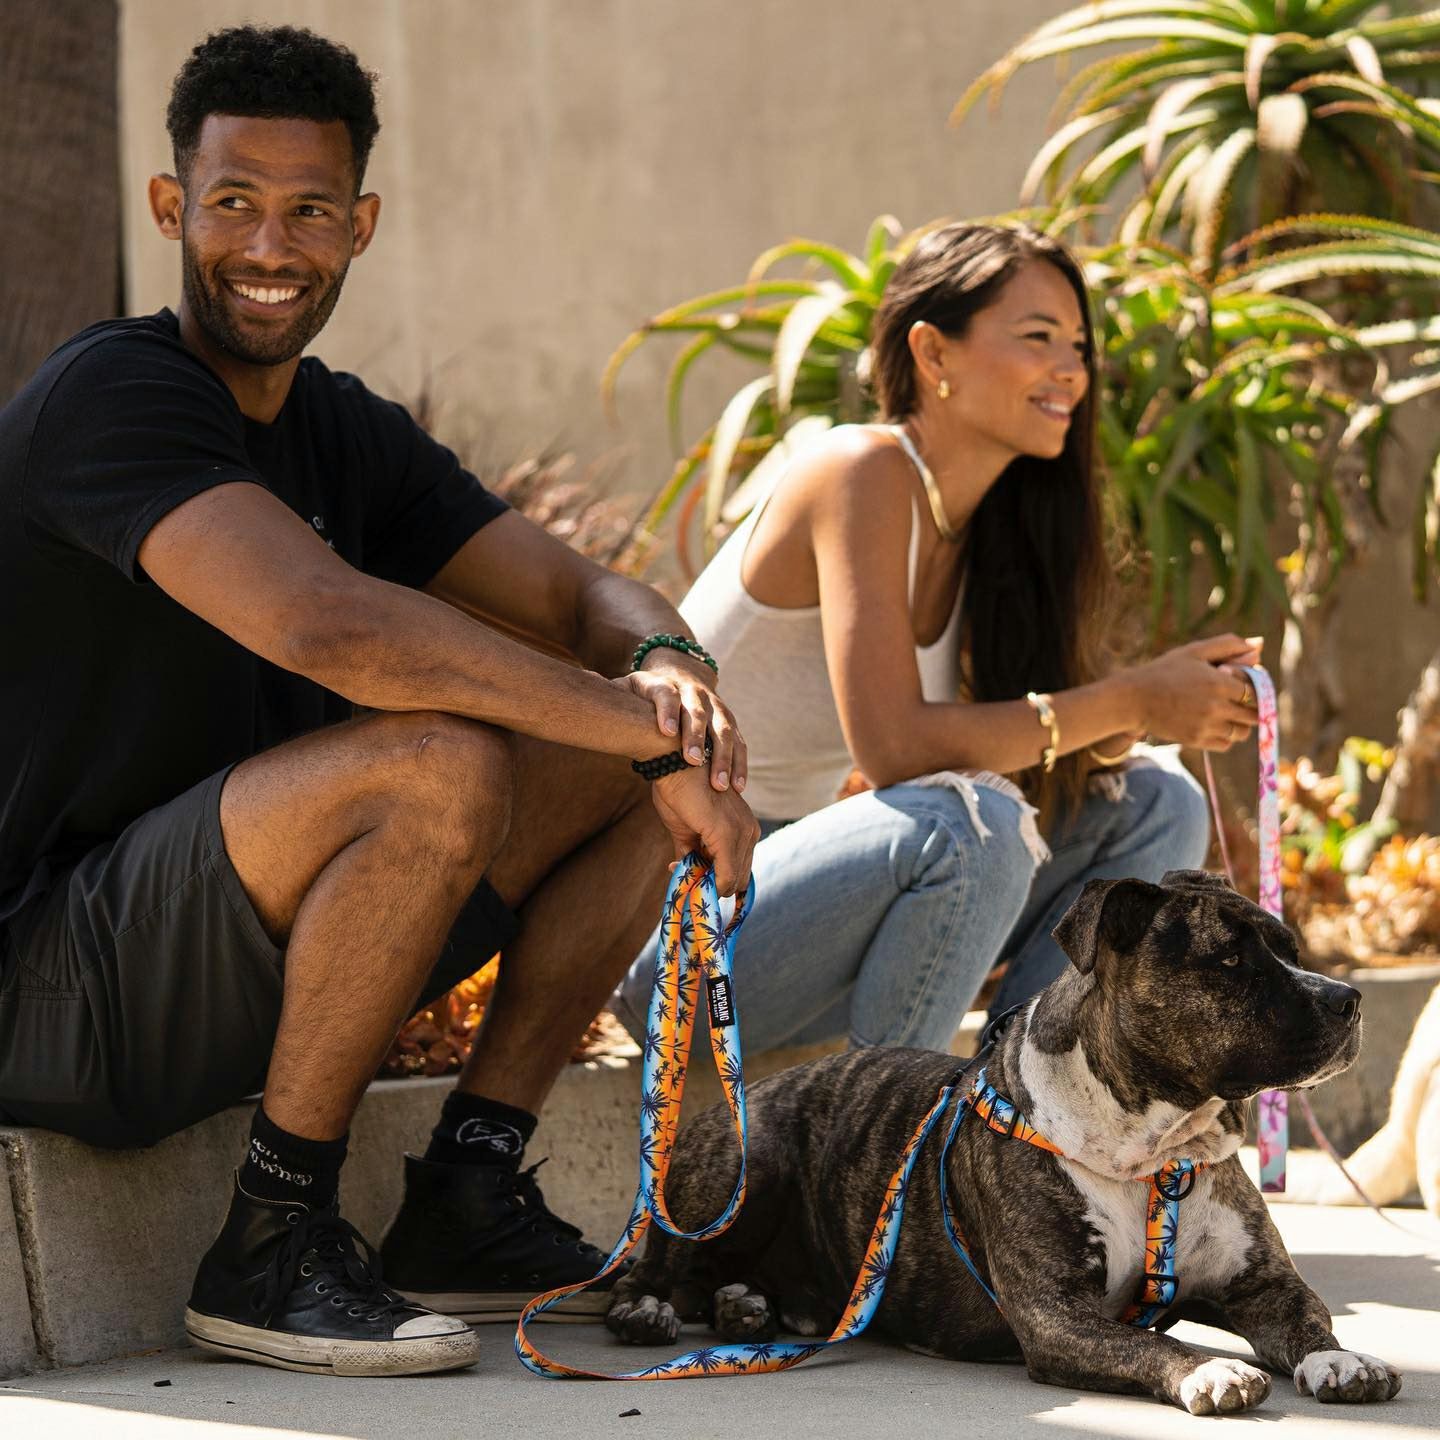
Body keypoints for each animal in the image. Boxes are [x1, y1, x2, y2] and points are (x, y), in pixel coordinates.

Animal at [605, 869, 1402, 1415]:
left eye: (1291, 948)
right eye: (1231, 963)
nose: (1348, 998)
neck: (1153, 1153)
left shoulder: (1261, 1285)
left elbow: (1310, 1320)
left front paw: (1342, 1362)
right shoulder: (1057, 1314)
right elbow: (1150, 1339)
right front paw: (1209, 1368)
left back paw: (744, 1307)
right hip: (751, 1164)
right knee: (659, 1264)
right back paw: (649, 1311)